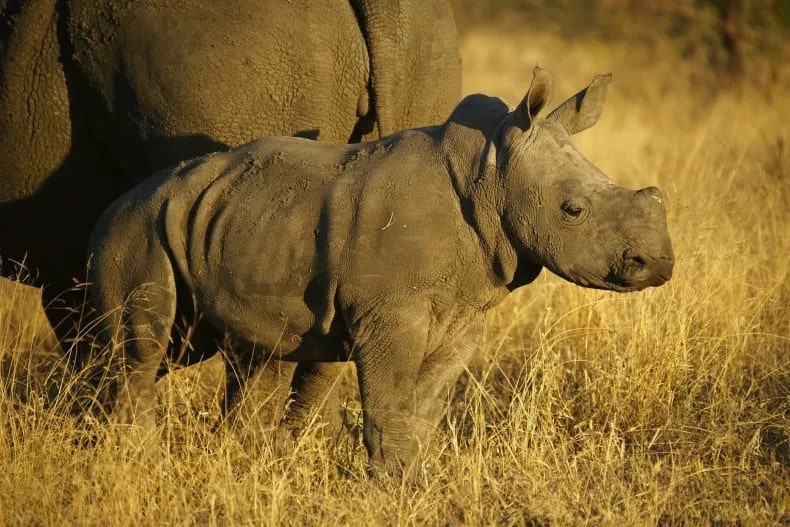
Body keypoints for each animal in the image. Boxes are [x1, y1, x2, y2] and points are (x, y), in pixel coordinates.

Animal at [89, 68, 676, 476]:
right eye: (572, 210)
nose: (659, 265)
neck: (489, 175)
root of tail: (116, 203)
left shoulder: (464, 313)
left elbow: (424, 410)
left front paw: (414, 484)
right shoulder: (393, 313)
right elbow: (389, 404)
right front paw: (393, 488)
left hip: (221, 220)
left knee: (239, 354)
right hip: (137, 226)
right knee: (144, 348)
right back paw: (138, 462)